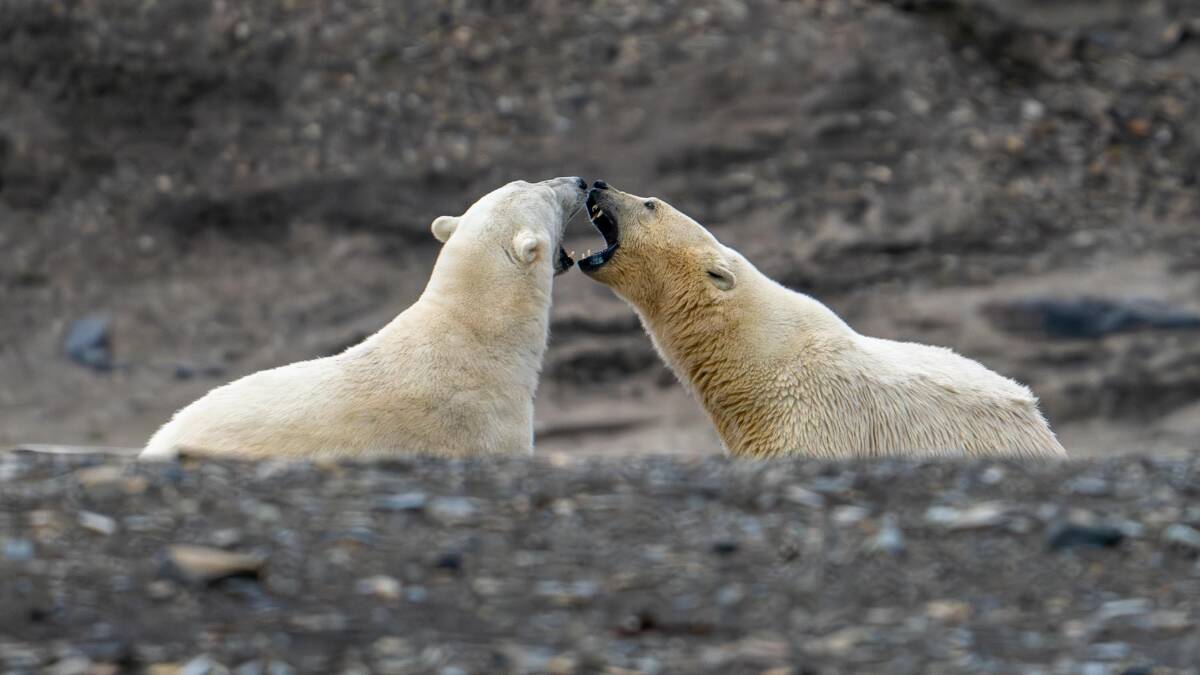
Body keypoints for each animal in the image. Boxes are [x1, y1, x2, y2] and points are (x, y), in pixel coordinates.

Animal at [141, 176, 587, 460]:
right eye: (545, 191)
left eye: (528, 181)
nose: (582, 181)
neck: (474, 332)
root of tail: (156, 443)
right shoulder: (488, 426)